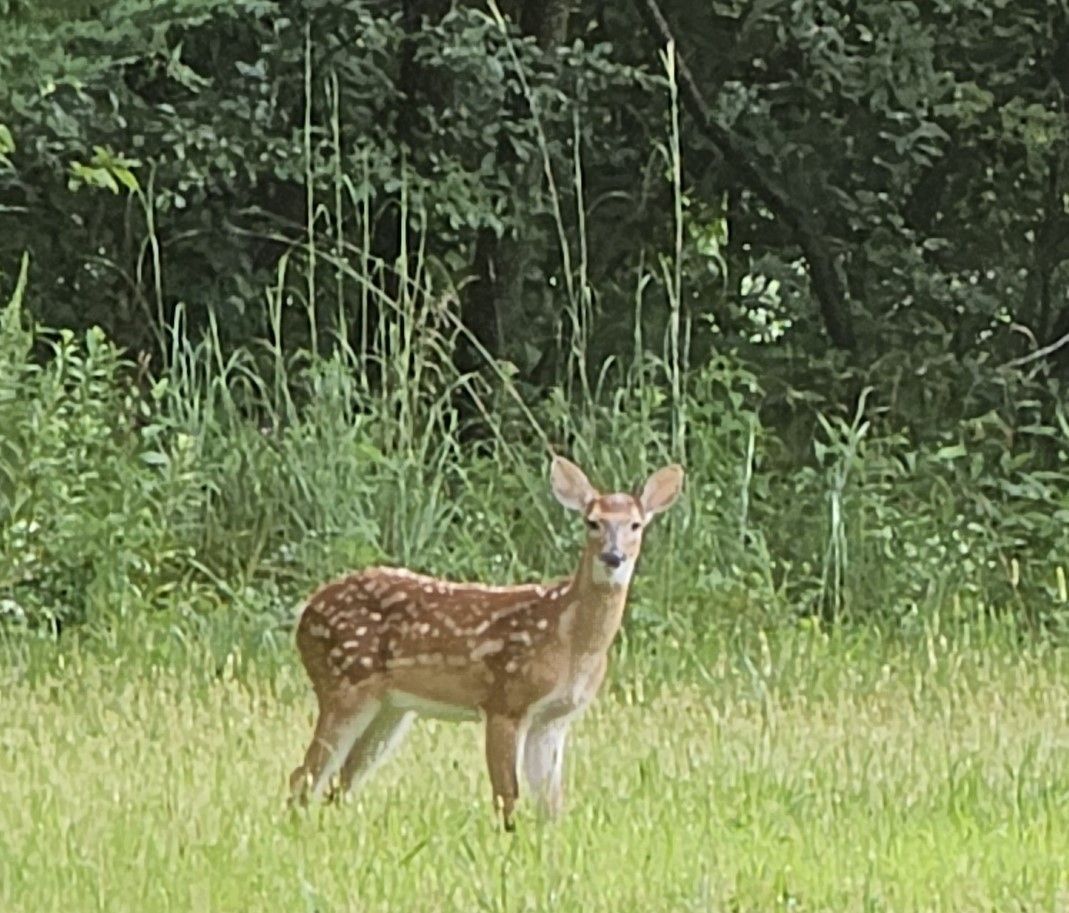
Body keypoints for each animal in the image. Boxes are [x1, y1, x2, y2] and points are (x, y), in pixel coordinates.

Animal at [288, 455, 679, 829]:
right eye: (592, 522)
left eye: (635, 525)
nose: (613, 556)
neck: (571, 640)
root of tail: (306, 612)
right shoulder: (505, 700)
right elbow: (507, 795)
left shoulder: (555, 718)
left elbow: (551, 802)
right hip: (344, 683)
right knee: (305, 776)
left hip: (391, 708)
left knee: (341, 779)